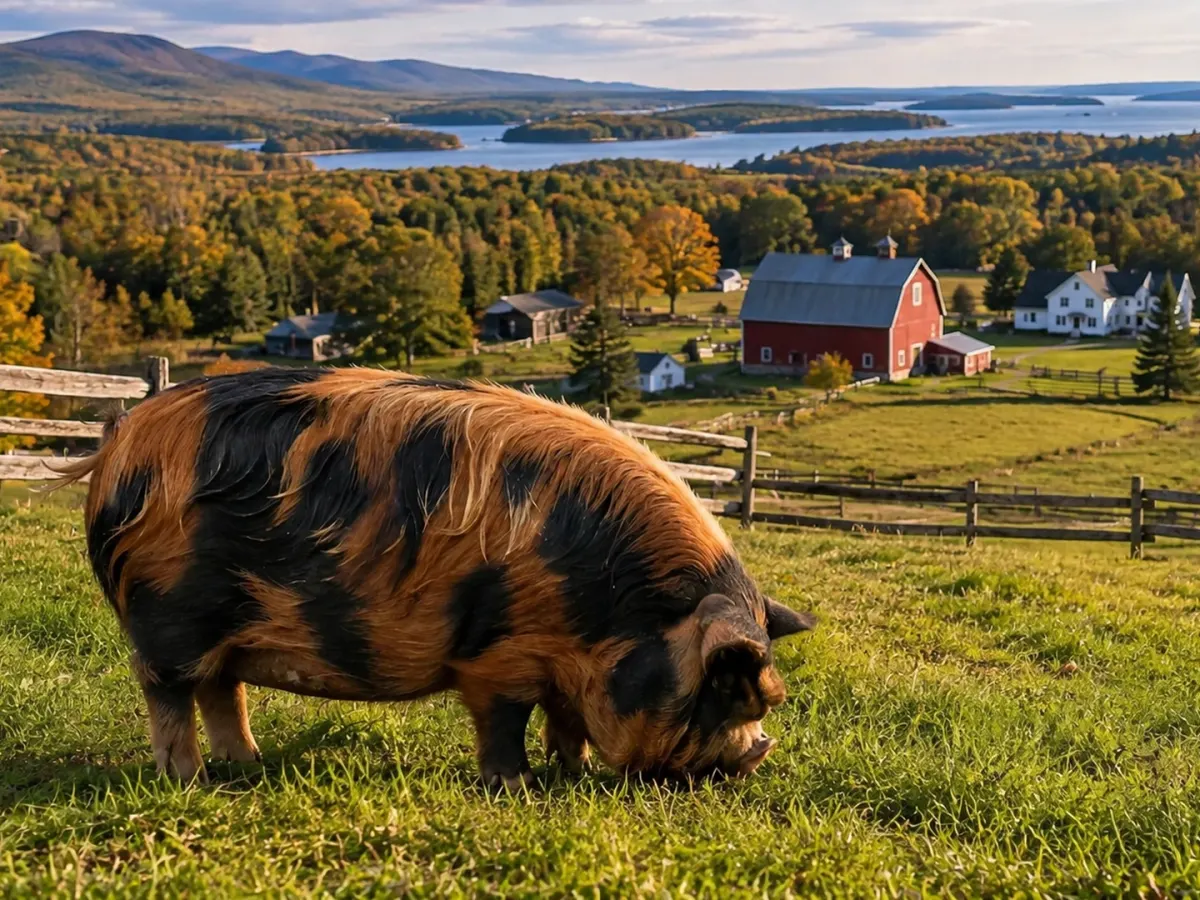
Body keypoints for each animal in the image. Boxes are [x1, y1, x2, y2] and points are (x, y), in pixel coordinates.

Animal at [62, 367, 814, 787]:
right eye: (725, 690)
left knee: (223, 691)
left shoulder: (564, 666)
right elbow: (505, 721)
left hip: (224, 632)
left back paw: (248, 767)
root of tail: (119, 448)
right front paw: (517, 787)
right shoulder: (498, 657)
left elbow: (568, 720)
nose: (749, 762)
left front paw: (571, 772)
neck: (610, 608)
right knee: (168, 691)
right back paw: (187, 780)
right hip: (169, 615)